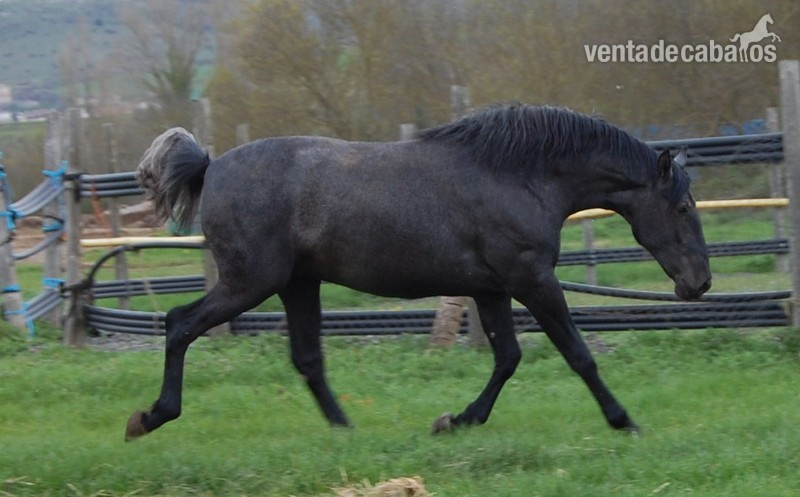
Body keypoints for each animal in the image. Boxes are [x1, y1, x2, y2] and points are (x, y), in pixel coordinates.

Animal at [125, 104, 711, 441]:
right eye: (683, 207)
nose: (700, 283)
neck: (520, 175)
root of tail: (211, 166)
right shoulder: (532, 280)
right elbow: (579, 355)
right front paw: (624, 421)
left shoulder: (492, 288)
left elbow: (507, 358)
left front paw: (456, 420)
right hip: (250, 282)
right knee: (179, 324)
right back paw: (149, 417)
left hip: (297, 284)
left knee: (307, 358)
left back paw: (347, 431)